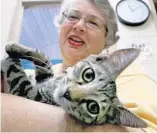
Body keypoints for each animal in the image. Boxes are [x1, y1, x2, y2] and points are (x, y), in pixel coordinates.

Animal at [0, 43, 147, 127]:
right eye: (89, 75)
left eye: (93, 107)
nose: (67, 94)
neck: (52, 88)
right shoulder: (45, 77)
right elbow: (44, 61)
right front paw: (16, 47)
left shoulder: (28, 92)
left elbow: (16, 73)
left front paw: (7, 59)